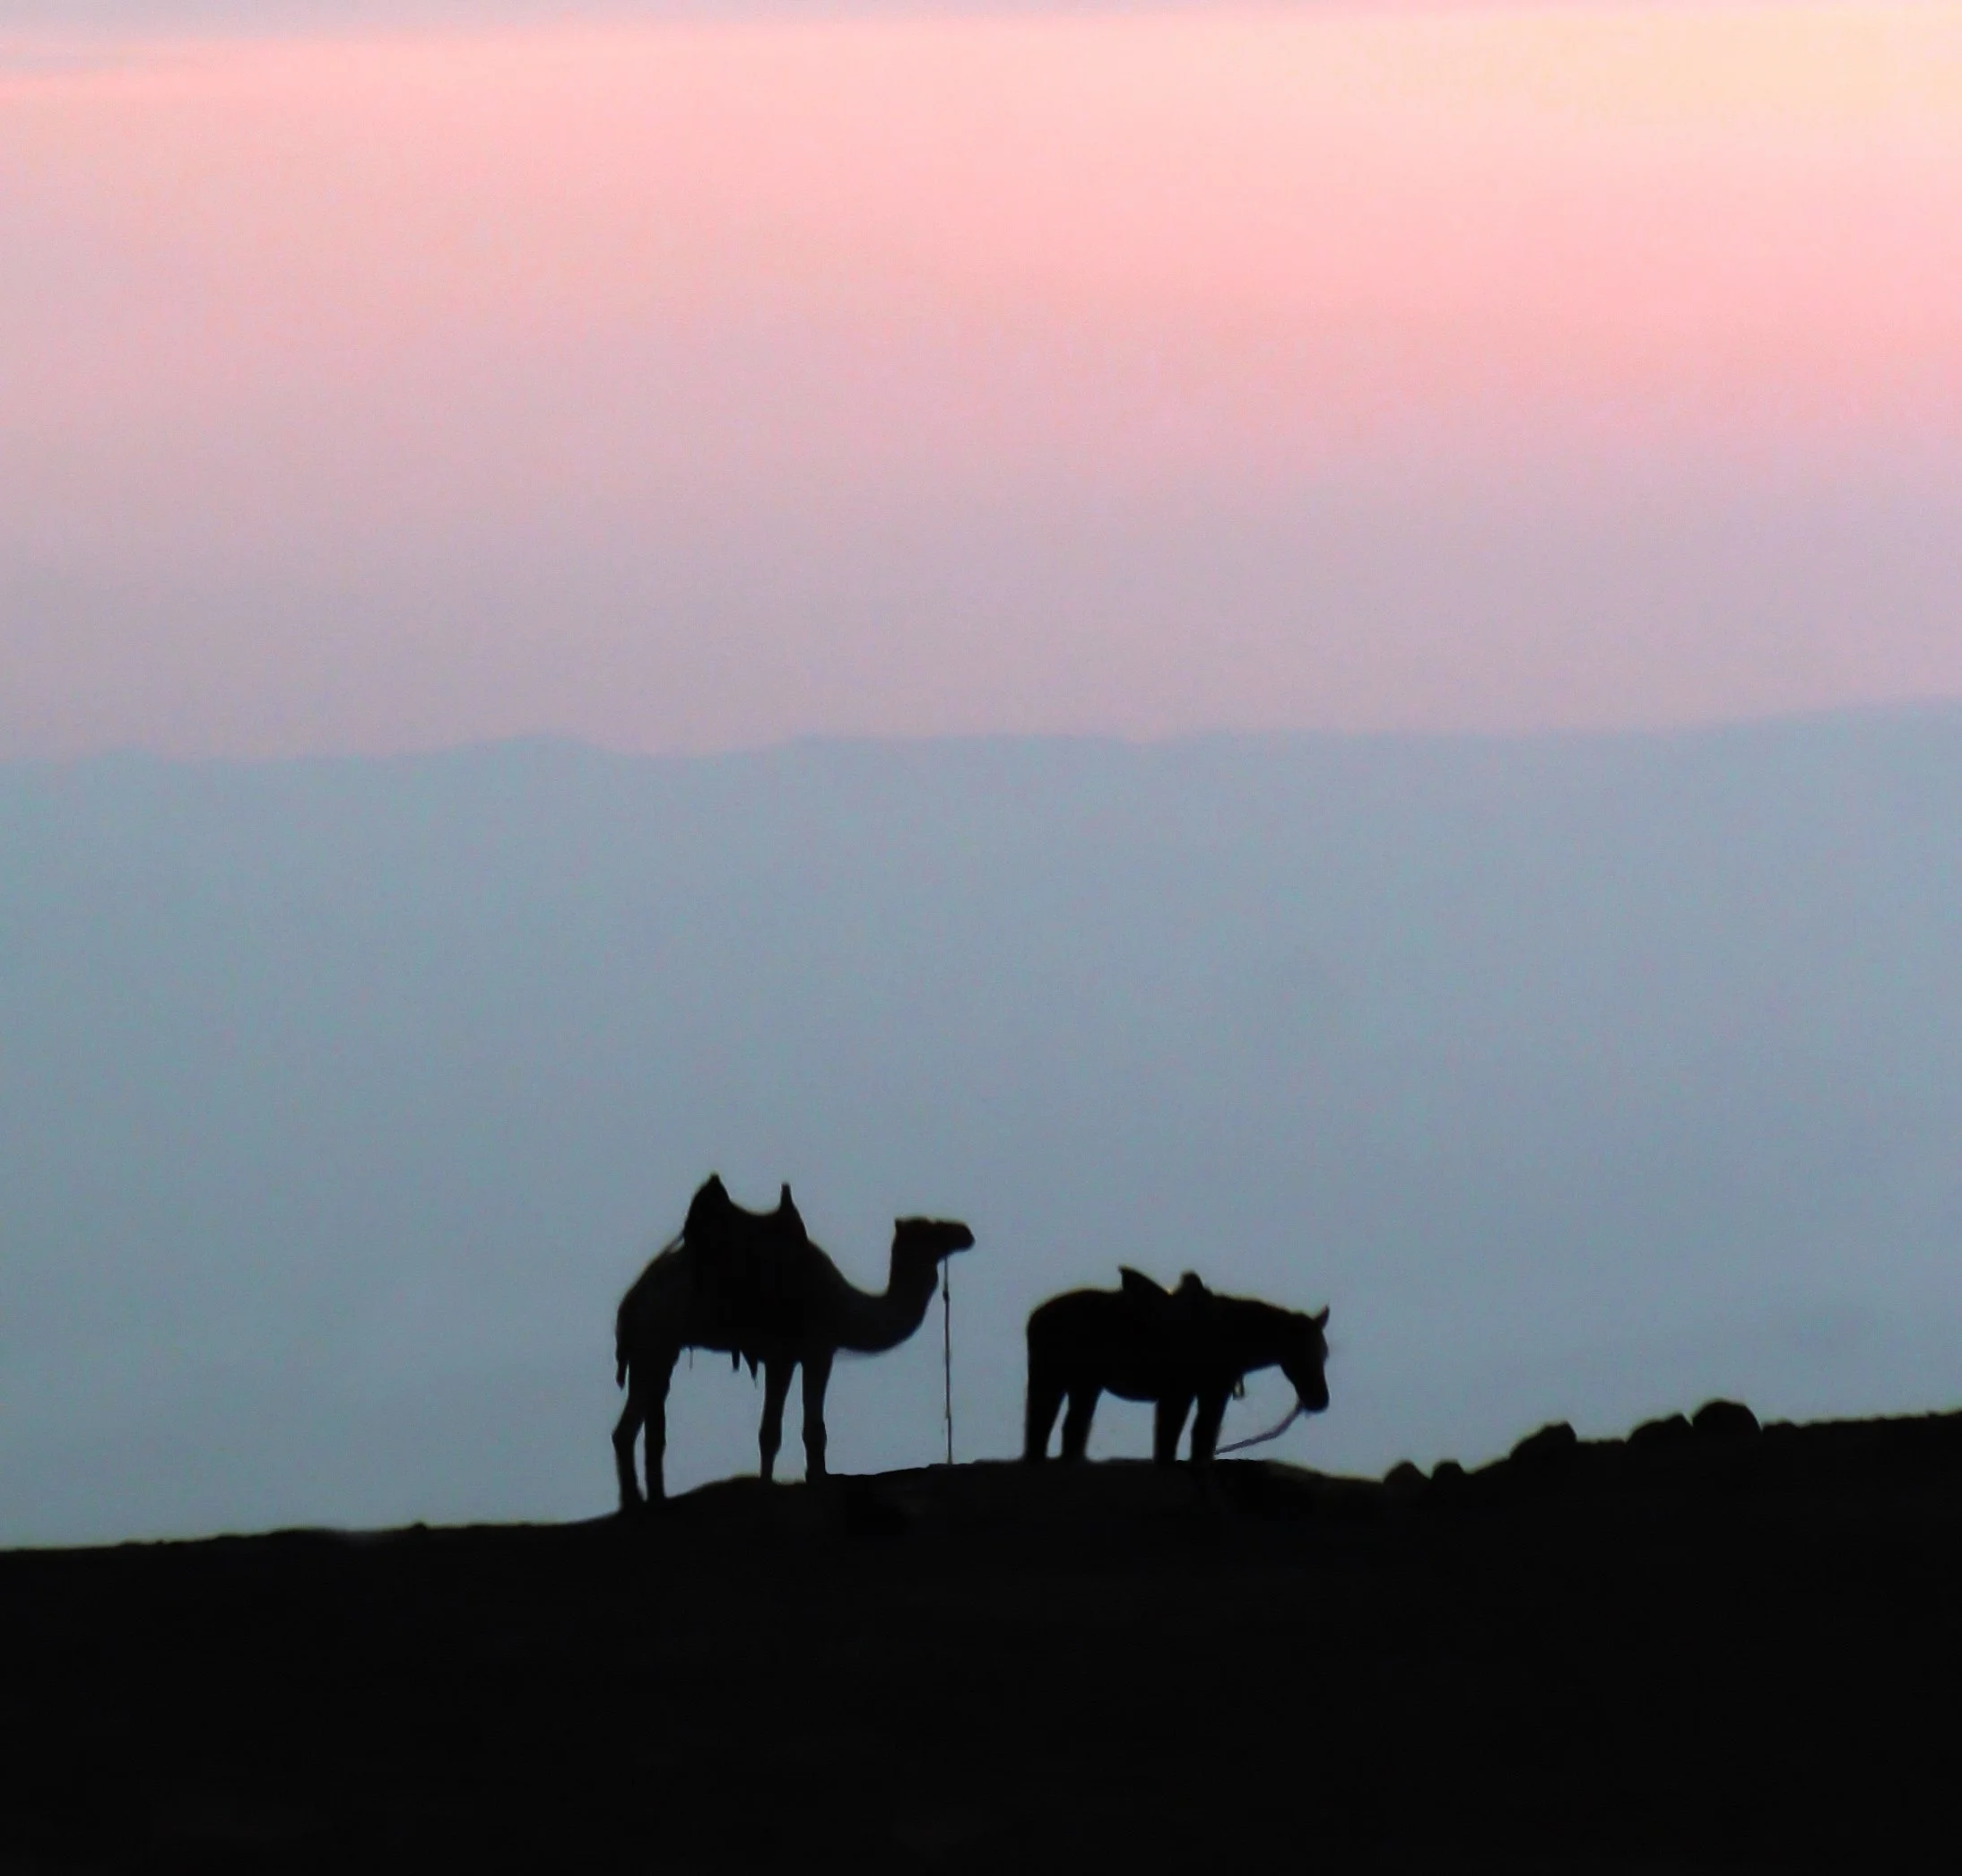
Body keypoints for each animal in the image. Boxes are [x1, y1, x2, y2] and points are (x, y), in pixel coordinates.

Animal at [612, 1177, 974, 1507]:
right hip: (654, 1336)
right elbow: (804, 1430)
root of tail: (630, 1302)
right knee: (626, 1430)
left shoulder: (787, 1357)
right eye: (929, 1227)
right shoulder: (812, 1351)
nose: (965, 1233)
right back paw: (633, 1502)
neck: (843, 1305)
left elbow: (774, 1431)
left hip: (662, 1348)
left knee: (653, 1426)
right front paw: (805, 1482)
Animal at [1022, 1267, 1329, 1466]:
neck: (1226, 1334)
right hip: (1057, 1382)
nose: (1320, 1401)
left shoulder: (1210, 1395)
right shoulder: (1178, 1395)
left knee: (1067, 1429)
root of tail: (1036, 1317)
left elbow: (1201, 1440)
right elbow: (1170, 1442)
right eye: (1300, 1351)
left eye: (1324, 1353)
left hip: (1080, 1386)